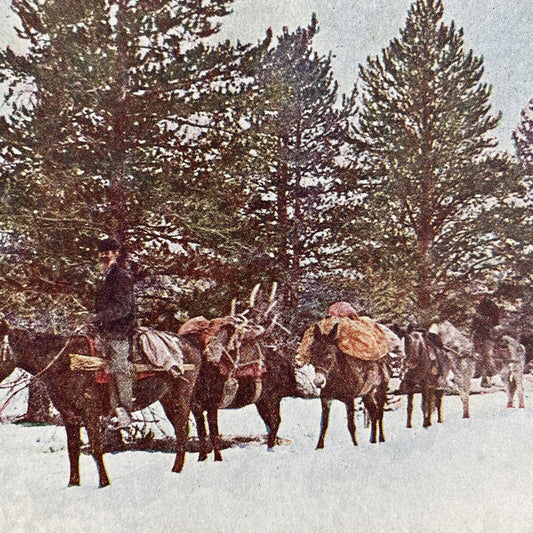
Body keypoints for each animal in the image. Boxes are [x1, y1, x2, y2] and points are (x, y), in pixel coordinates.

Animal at [0, 320, 202, 486]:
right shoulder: (69, 416)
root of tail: (193, 346)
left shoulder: (90, 412)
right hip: (167, 398)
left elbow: (96, 448)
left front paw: (104, 484)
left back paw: (177, 471)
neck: (65, 363)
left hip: (181, 396)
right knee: (181, 430)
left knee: (183, 431)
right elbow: (73, 450)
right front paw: (73, 484)